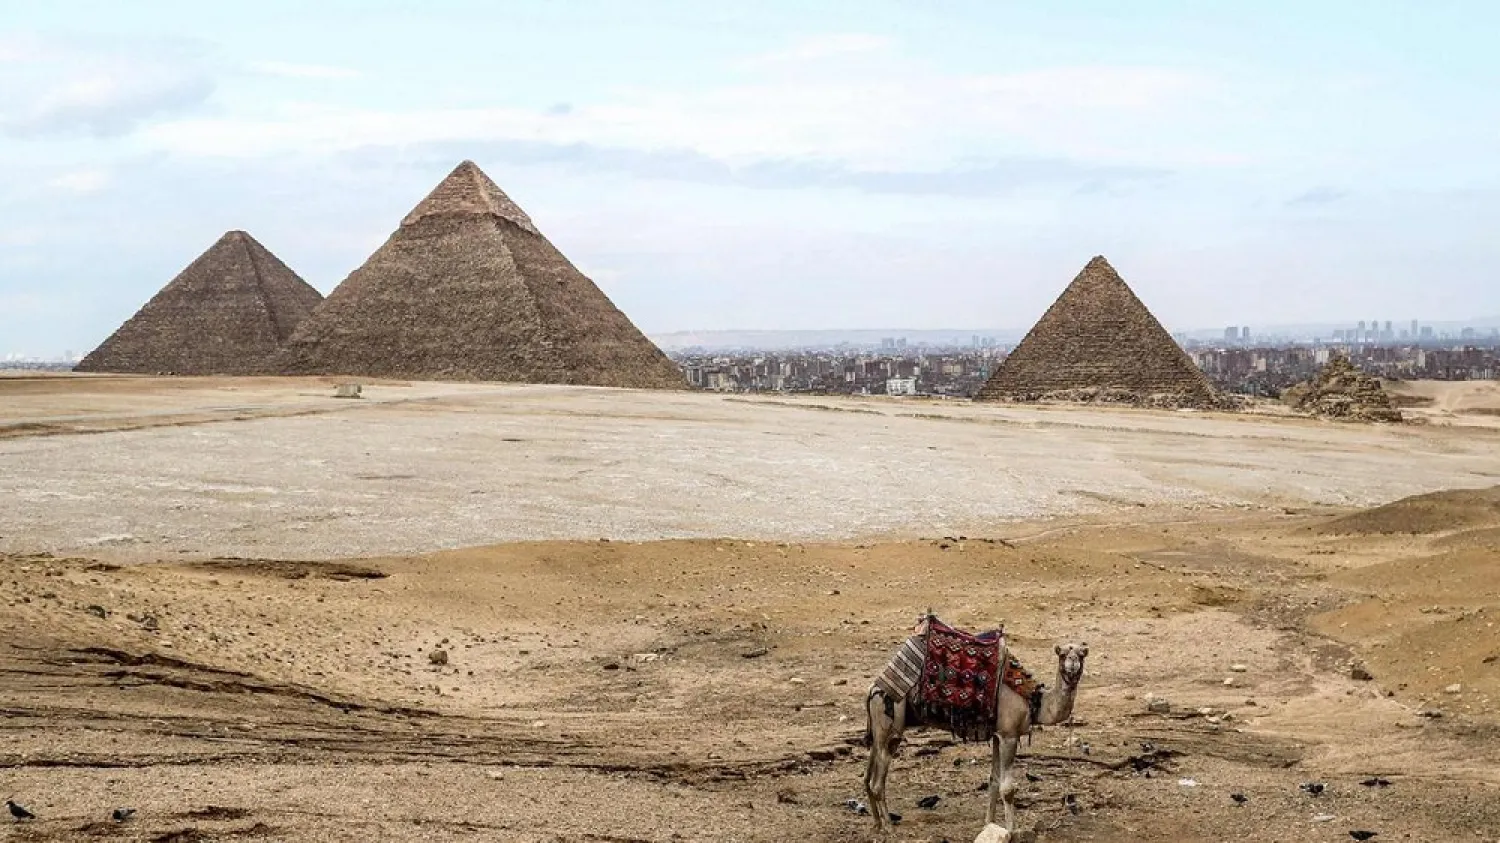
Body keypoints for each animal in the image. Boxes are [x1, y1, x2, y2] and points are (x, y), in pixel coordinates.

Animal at [862, 616, 1088, 836]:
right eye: (1062, 654)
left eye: (1082, 654)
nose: (1073, 665)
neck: (1033, 700)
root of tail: (873, 689)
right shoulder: (1009, 735)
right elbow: (1008, 788)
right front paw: (1013, 830)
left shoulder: (998, 735)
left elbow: (993, 780)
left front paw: (989, 823)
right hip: (890, 720)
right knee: (877, 780)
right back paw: (888, 826)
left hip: (882, 728)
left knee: (868, 775)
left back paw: (877, 823)